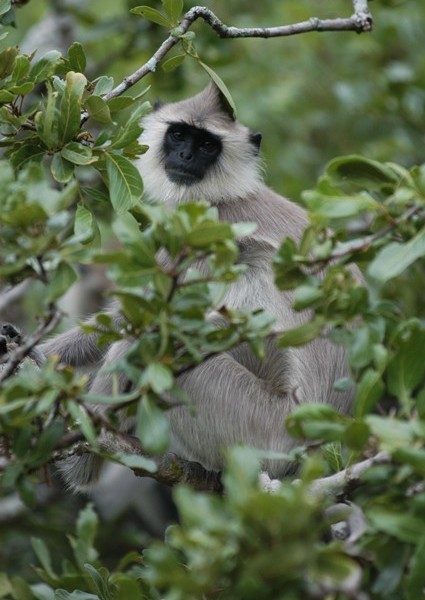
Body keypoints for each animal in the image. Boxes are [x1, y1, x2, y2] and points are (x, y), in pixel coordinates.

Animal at [39, 82, 360, 490]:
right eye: (178, 135)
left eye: (207, 145)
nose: (185, 155)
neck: (223, 196)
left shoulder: (204, 235)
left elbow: (150, 321)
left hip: (260, 427)